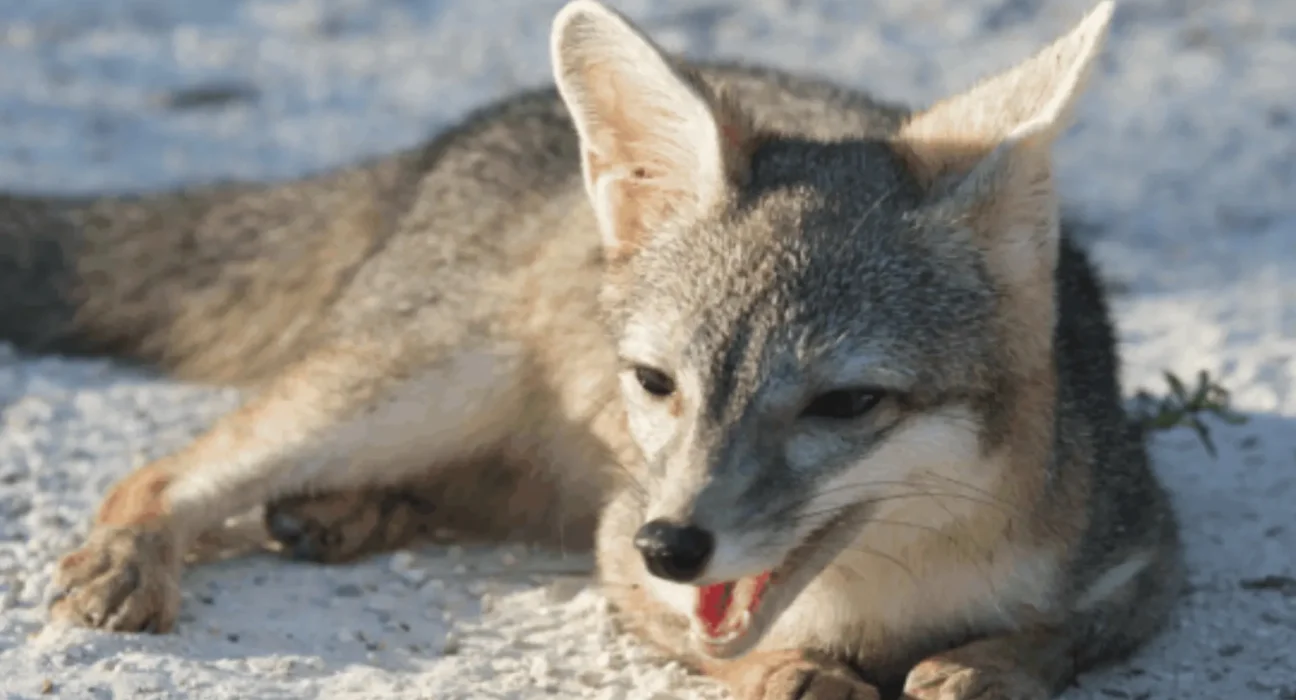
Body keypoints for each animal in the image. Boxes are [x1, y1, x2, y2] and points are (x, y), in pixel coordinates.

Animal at [0, 1, 1182, 698]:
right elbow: (716, 644)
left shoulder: (1145, 555)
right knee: (166, 471)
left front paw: (986, 666)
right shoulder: (617, 550)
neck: (886, 598)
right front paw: (793, 668)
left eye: (846, 405)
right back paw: (147, 548)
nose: (676, 545)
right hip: (416, 390)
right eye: (655, 383)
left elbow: (1064, 634)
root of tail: (459, 134)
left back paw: (353, 511)